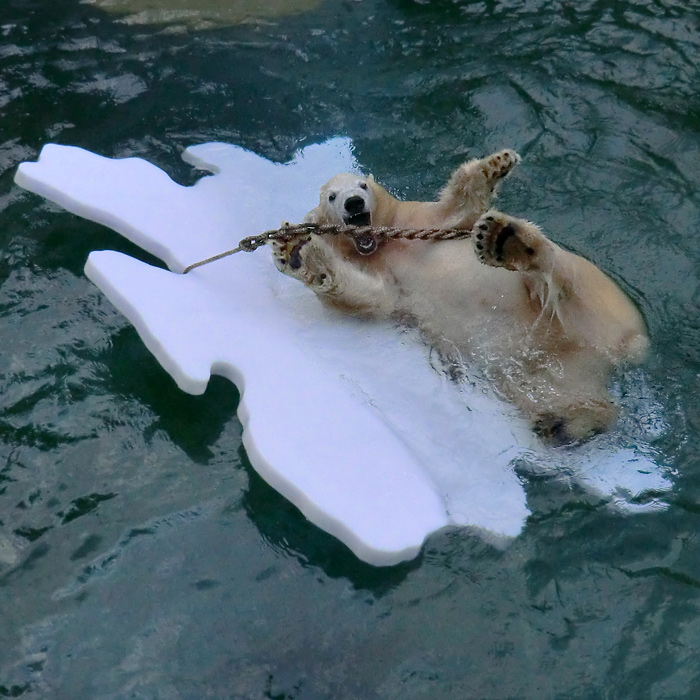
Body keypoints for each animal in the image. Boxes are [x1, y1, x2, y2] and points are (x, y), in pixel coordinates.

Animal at [270, 150, 648, 440]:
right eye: (332, 196)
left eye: (362, 185)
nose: (353, 203)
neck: (381, 247)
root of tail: (625, 343)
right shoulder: (384, 278)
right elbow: (370, 298)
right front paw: (297, 253)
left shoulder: (418, 219)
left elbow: (457, 208)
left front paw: (495, 165)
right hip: (555, 366)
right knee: (555, 391)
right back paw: (566, 423)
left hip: (600, 296)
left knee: (561, 276)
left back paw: (506, 240)